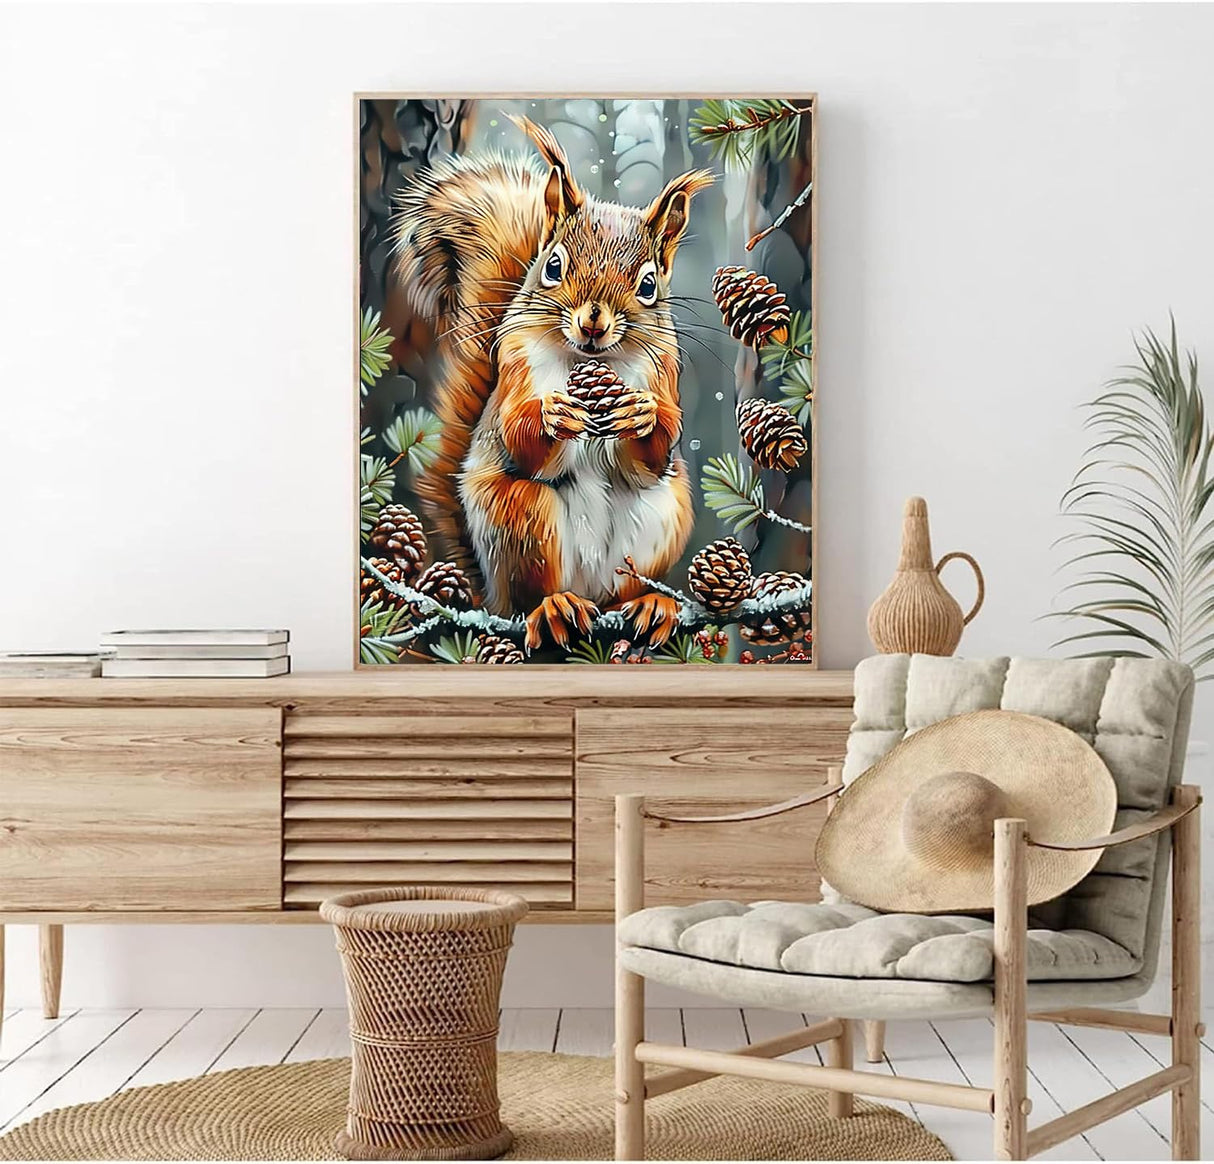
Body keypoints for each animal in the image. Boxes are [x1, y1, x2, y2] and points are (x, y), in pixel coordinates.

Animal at [395, 116, 713, 651]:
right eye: (553, 266)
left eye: (649, 285)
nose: (593, 322)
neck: (587, 359)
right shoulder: (514, 366)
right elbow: (518, 437)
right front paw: (552, 413)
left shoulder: (664, 371)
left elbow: (654, 455)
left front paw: (644, 414)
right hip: (524, 521)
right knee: (533, 593)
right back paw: (554, 608)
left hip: (660, 521)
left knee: (624, 589)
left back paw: (650, 604)